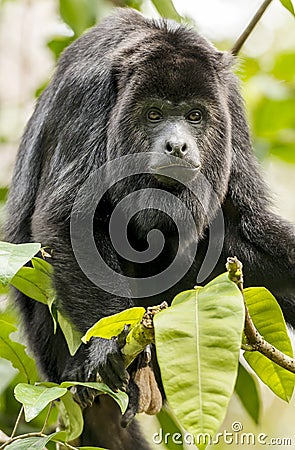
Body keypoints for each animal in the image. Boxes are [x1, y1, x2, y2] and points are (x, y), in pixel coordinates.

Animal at [5, 7, 295, 450]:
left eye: (195, 115)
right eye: (153, 114)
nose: (177, 145)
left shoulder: (230, 102)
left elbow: (243, 222)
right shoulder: (86, 93)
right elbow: (69, 220)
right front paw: (104, 345)